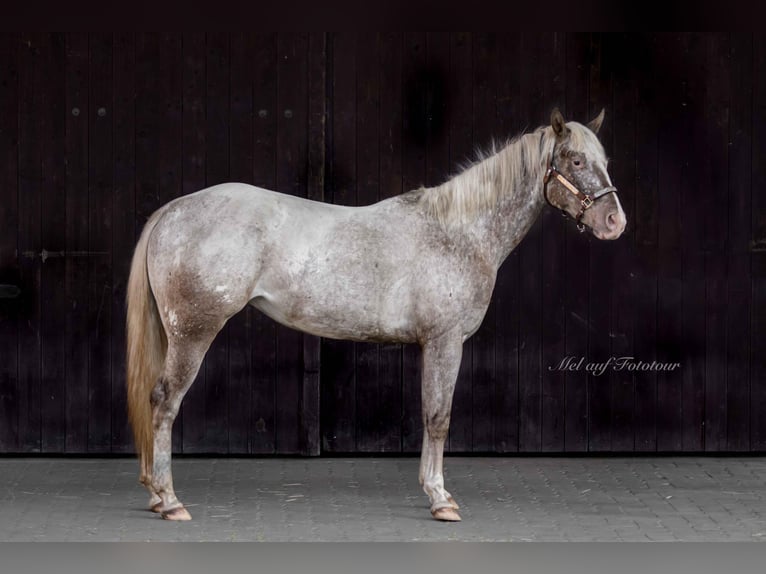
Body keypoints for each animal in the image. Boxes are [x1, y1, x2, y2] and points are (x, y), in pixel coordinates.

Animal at [126, 108, 626, 522]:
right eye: (574, 161)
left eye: (605, 160)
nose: (614, 222)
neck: (457, 232)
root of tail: (174, 210)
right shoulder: (444, 343)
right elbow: (439, 417)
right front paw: (440, 499)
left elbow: (430, 414)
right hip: (193, 333)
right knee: (165, 401)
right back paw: (170, 501)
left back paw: (154, 494)